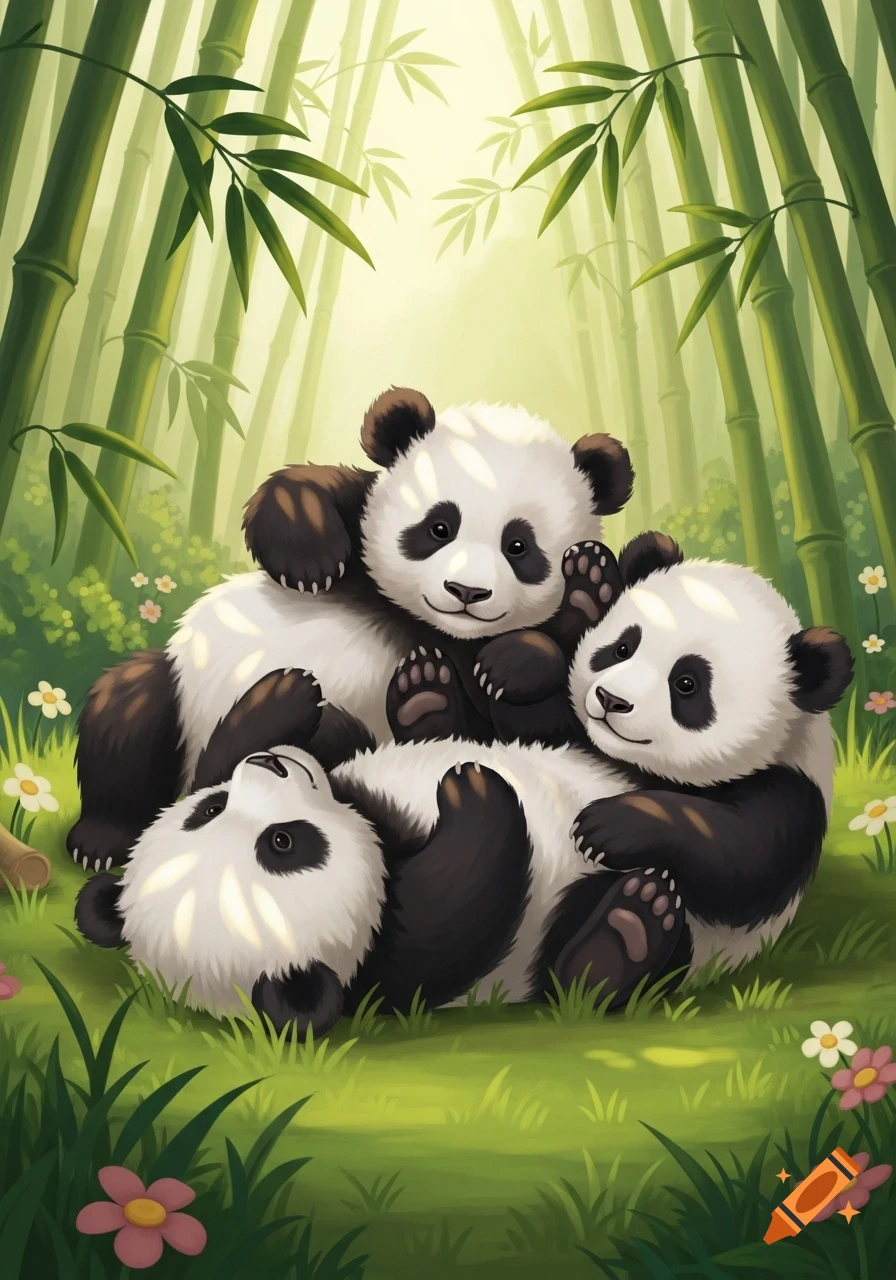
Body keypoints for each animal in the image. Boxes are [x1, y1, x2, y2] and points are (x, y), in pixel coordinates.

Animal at [66, 386, 632, 873]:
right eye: (439, 527)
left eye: (519, 546)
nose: (466, 591)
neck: (423, 624)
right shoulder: (359, 516)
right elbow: (298, 490)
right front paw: (310, 560)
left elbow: (541, 711)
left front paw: (525, 650)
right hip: (179, 692)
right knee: (129, 709)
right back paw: (103, 837)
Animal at [73, 534, 852, 1033]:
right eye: (284, 845)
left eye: (687, 683)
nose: (611, 700)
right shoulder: (385, 961)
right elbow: (462, 905)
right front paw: (479, 795)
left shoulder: (784, 787)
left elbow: (743, 854)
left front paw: (283, 701)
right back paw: (626, 933)